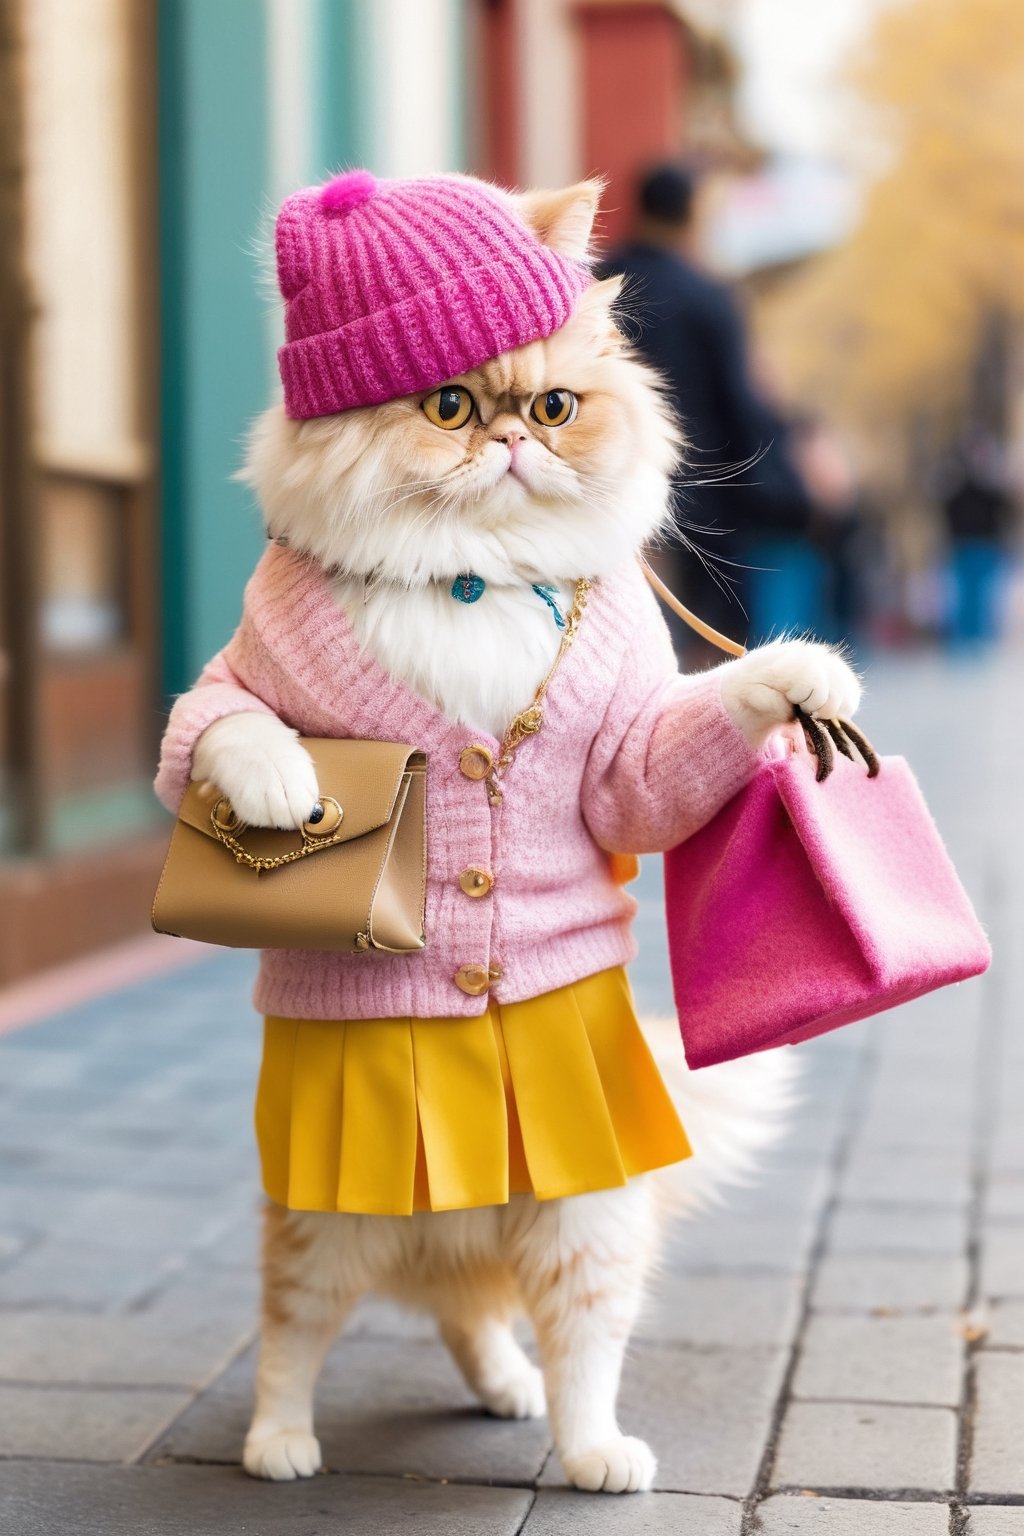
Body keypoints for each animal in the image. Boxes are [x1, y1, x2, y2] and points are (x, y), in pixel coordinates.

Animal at [188, 176, 859, 1486]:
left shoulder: (623, 762)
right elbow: (234, 733)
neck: (470, 580)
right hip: (326, 1220)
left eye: (554, 408)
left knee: (536, 1339)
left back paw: (574, 1441)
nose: (511, 440)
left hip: (582, 1215)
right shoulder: (224, 689)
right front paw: (287, 795)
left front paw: (796, 680)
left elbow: (694, 732)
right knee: (296, 1336)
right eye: (449, 404)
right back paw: (281, 1448)